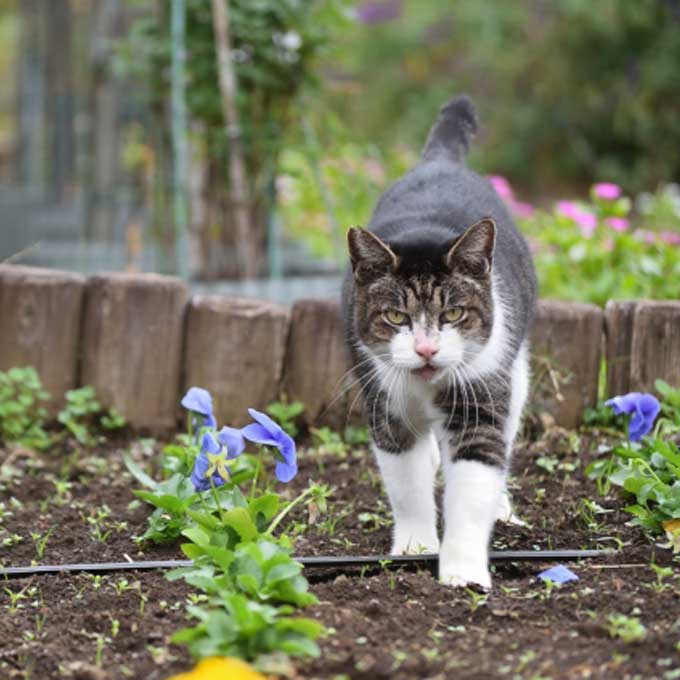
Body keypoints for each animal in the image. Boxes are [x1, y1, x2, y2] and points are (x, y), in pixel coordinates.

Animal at [340, 95, 536, 588]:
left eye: (453, 314)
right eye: (395, 316)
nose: (426, 349)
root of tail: (440, 162)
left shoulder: (482, 394)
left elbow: (473, 482)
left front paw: (463, 573)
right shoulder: (385, 401)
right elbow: (406, 484)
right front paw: (415, 547)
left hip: (515, 370)